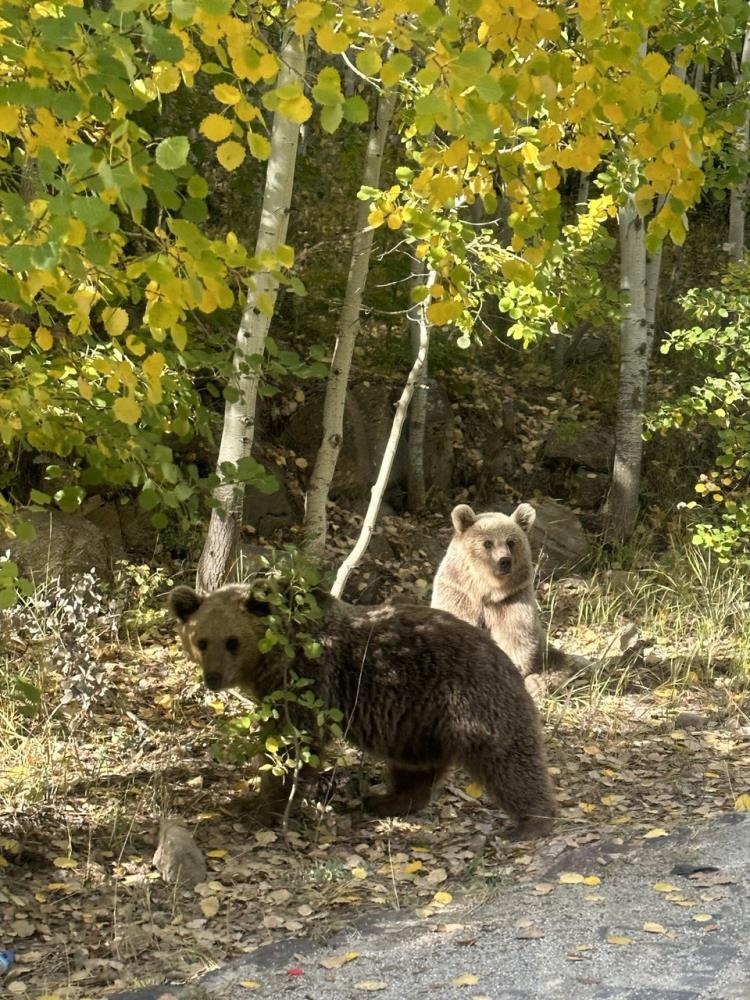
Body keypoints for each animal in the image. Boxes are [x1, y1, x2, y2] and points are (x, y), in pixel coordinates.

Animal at [170, 584, 560, 840]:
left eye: (232, 641)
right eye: (201, 641)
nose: (213, 678)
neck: (273, 657)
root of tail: (502, 655)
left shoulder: (308, 681)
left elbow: (292, 745)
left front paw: (264, 806)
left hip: (470, 700)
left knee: (507, 758)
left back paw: (533, 821)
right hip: (419, 724)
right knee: (416, 767)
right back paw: (385, 800)